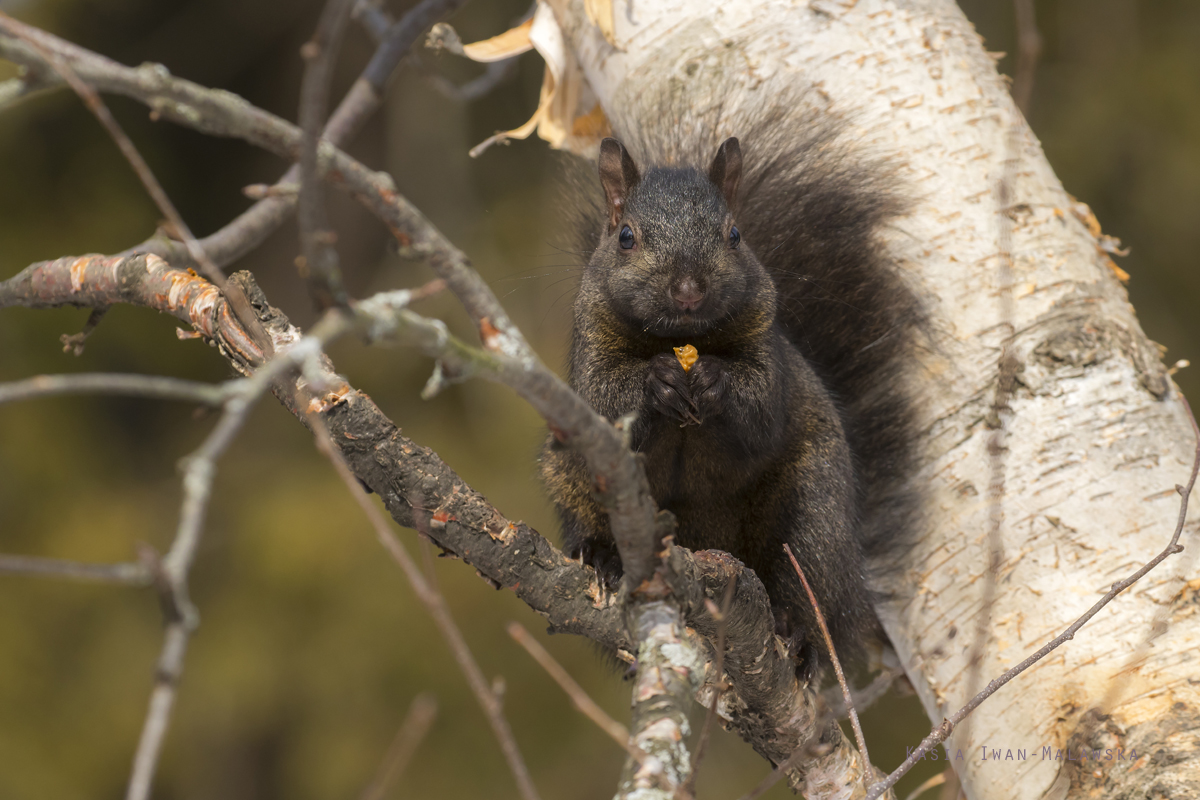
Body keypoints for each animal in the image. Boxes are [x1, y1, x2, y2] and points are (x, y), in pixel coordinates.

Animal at [540, 107, 921, 671]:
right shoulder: (590, 347)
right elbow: (604, 402)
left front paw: (714, 379)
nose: (688, 290)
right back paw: (603, 556)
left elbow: (761, 410)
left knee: (811, 587)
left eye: (735, 235)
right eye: (626, 237)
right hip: (571, 481)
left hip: (816, 512)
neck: (682, 339)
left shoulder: (768, 347)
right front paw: (657, 379)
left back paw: (798, 631)